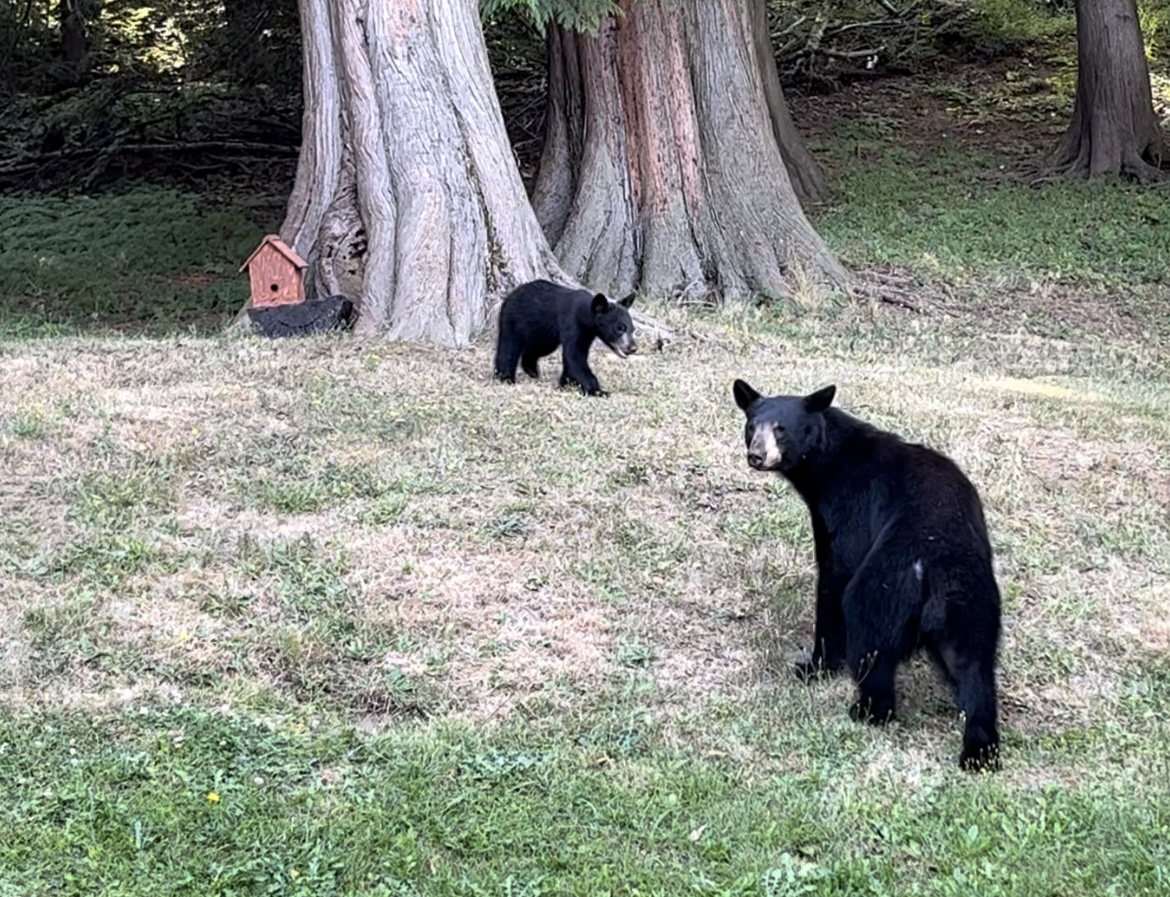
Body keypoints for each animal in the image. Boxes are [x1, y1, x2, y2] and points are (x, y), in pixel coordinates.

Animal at [493, 279, 637, 397]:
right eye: (619, 328)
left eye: (632, 329)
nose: (633, 348)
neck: (584, 315)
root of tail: (511, 294)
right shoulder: (572, 323)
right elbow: (574, 356)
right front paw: (598, 391)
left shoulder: (587, 334)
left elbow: (575, 357)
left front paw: (566, 384)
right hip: (513, 320)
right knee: (508, 347)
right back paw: (505, 377)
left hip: (545, 335)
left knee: (535, 350)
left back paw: (532, 371)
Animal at [732, 379, 1003, 772]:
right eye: (752, 425)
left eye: (781, 429)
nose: (757, 456)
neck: (827, 464)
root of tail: (936, 566)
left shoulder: (848, 508)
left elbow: (834, 576)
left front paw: (814, 665)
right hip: (971, 599)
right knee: (974, 665)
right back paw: (979, 750)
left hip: (887, 584)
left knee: (869, 630)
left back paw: (868, 709)